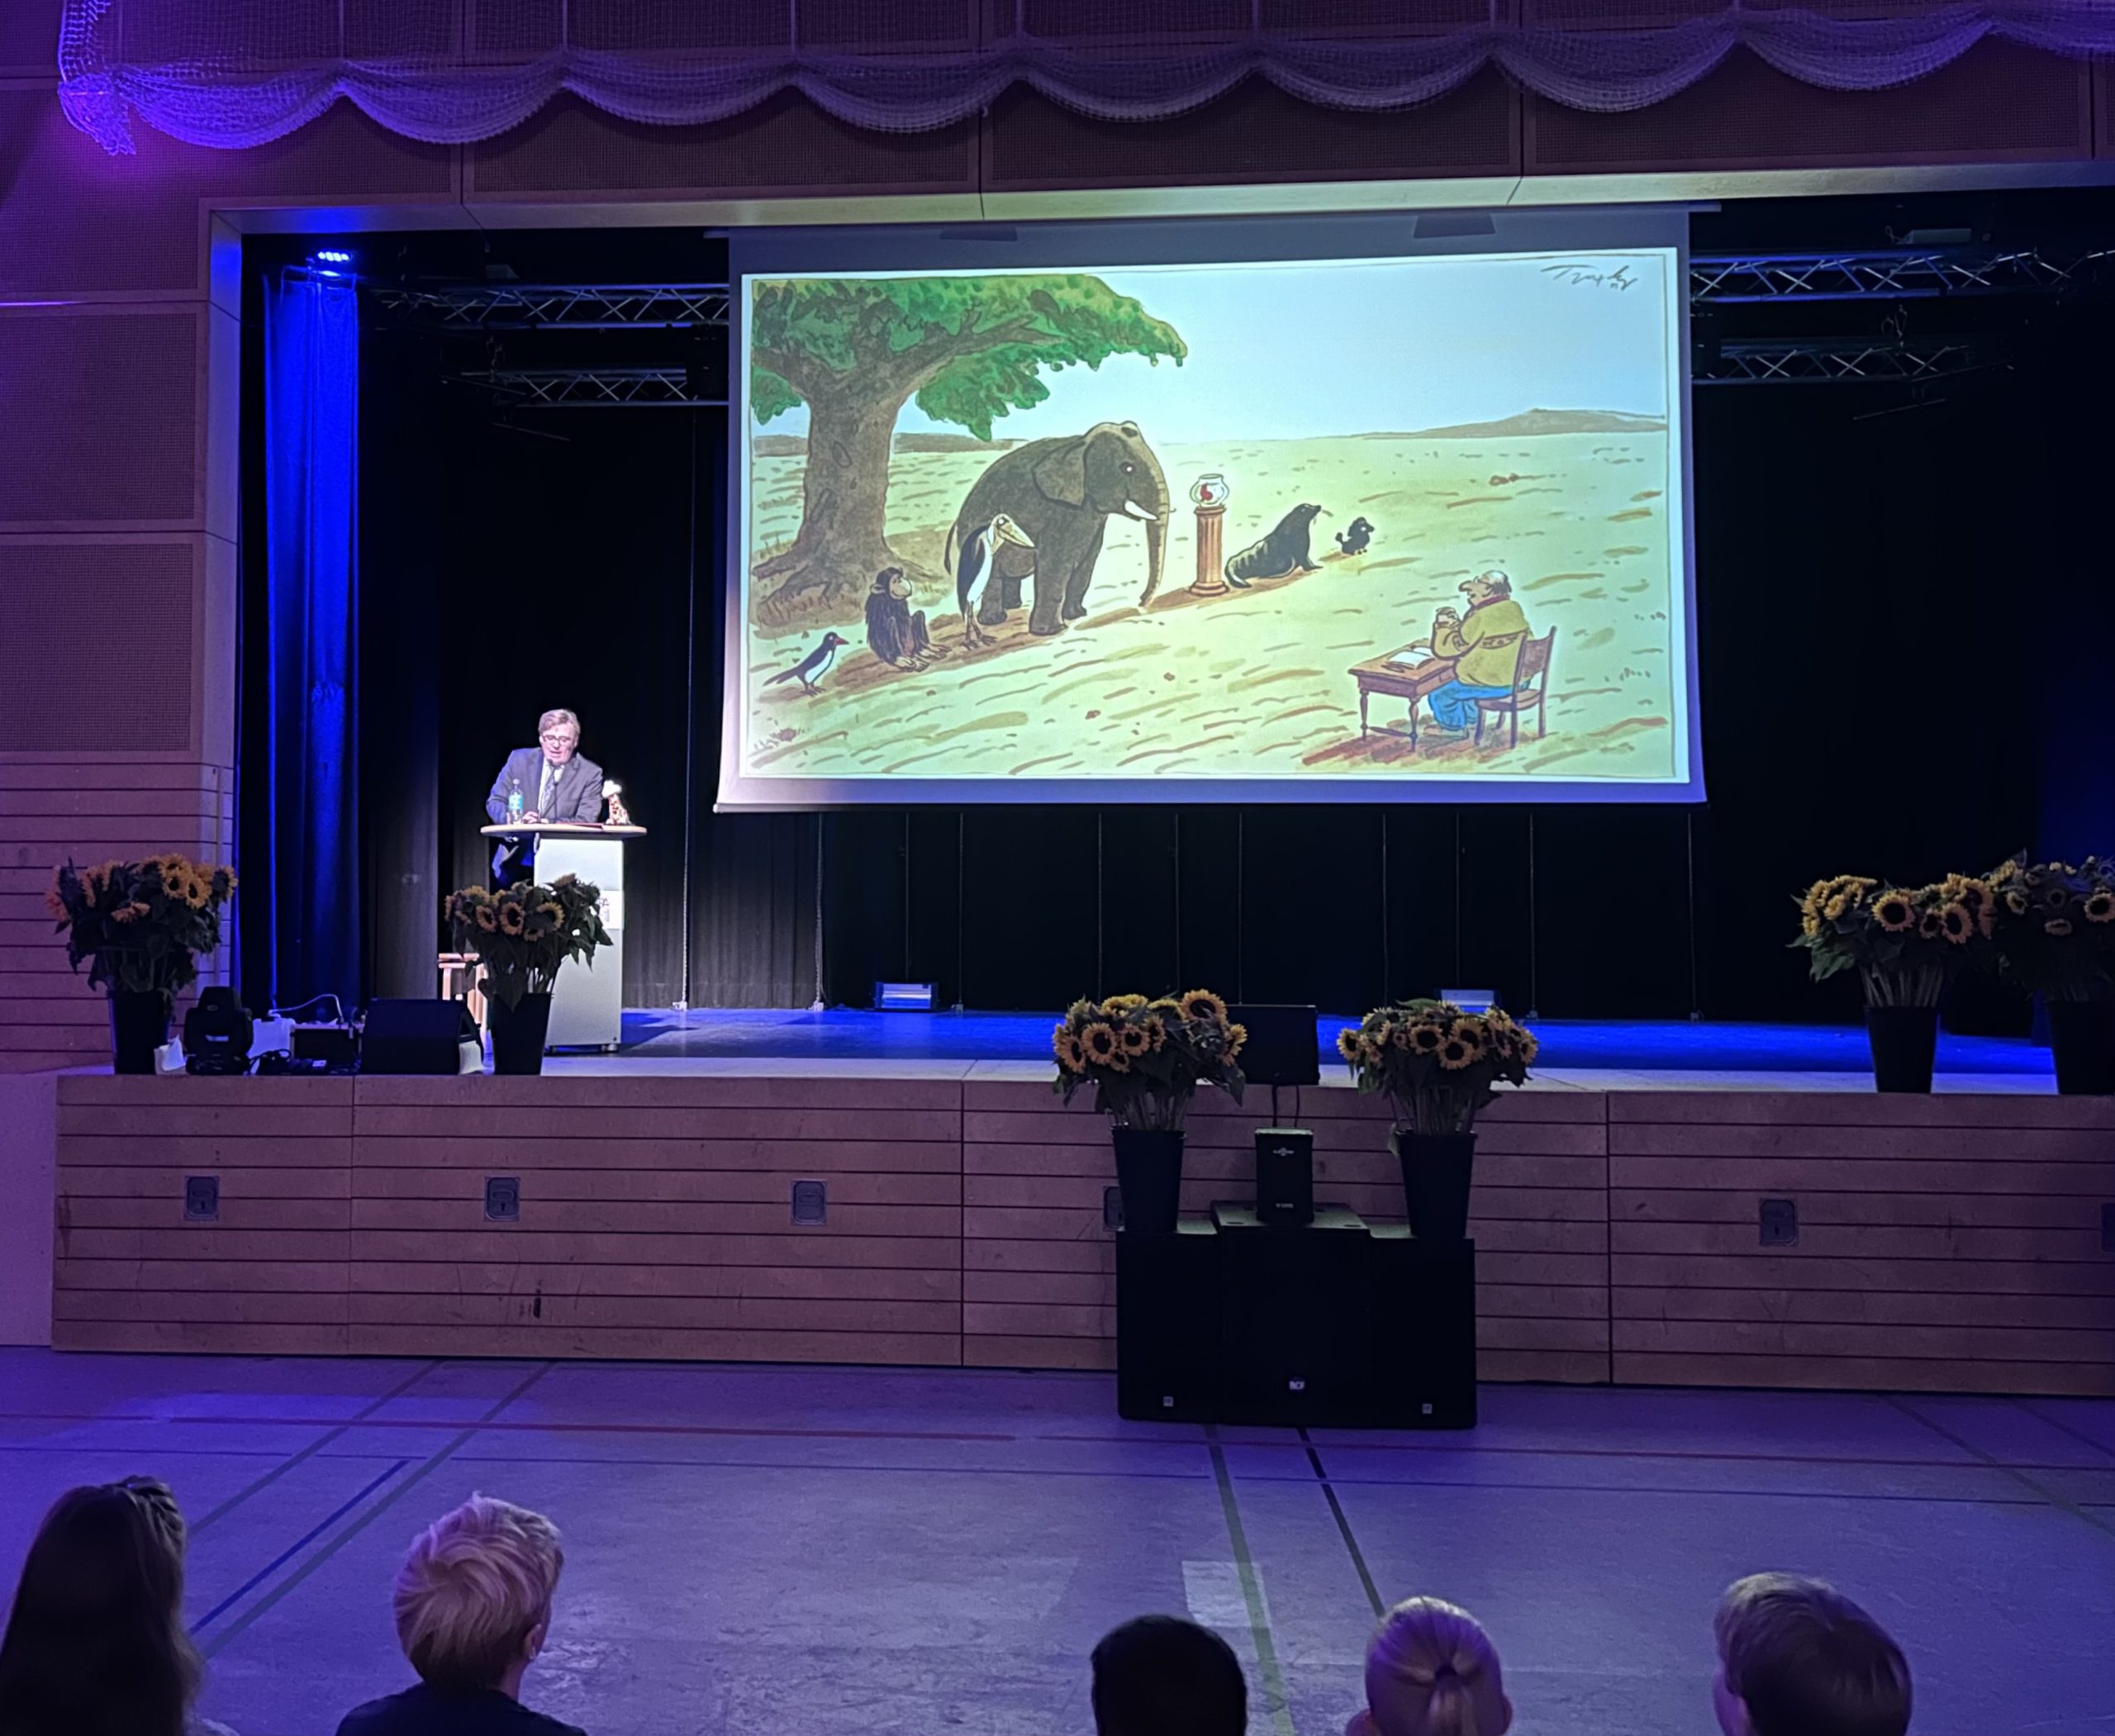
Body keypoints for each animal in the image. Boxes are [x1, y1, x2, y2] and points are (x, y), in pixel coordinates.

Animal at [944, 421, 1170, 637]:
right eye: (1127, 468)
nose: (1140, 602)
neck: (1080, 443)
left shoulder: (1091, 519)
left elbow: (1086, 564)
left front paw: (1078, 615)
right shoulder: (1057, 513)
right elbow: (1055, 566)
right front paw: (1052, 631)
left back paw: (1013, 606)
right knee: (992, 576)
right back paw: (993, 620)